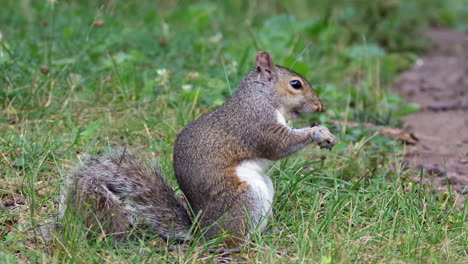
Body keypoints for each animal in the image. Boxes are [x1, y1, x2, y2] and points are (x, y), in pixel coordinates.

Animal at [61, 51, 336, 248]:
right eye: (296, 84)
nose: (320, 107)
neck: (260, 97)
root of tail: (201, 231)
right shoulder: (255, 124)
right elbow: (279, 146)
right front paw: (319, 133)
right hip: (246, 198)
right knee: (228, 240)